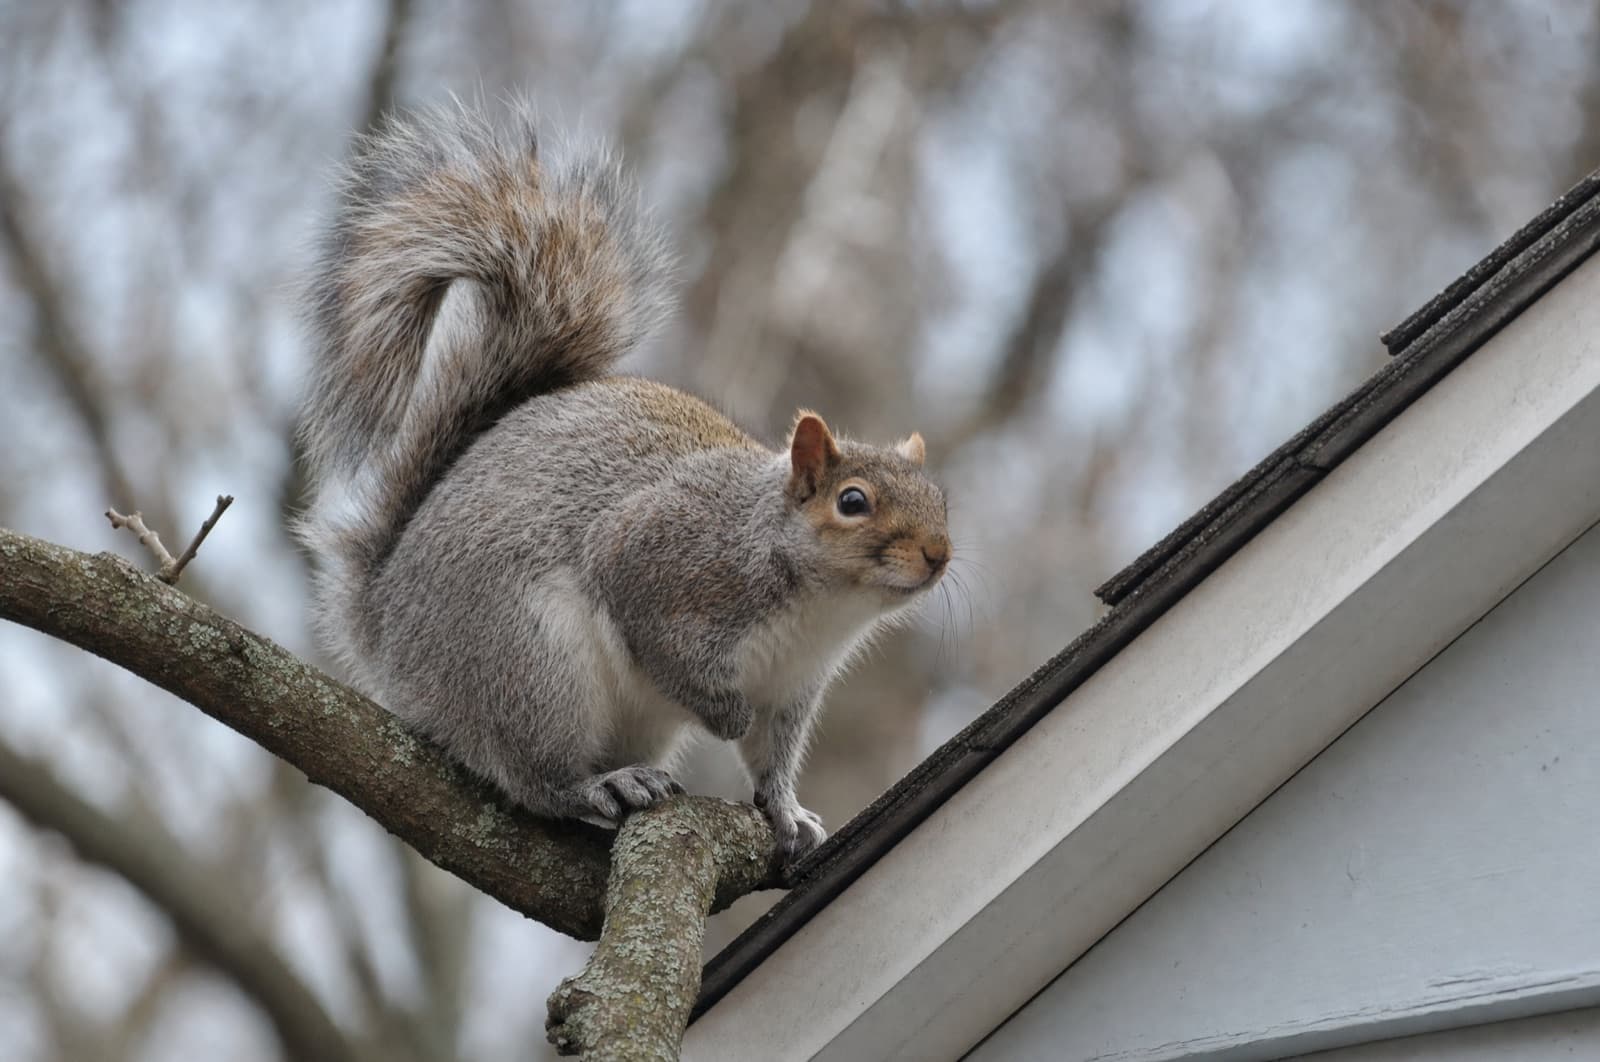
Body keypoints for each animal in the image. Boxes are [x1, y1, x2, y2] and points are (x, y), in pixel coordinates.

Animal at [294, 103, 951, 860]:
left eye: (942, 501)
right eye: (852, 502)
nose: (939, 555)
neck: (820, 607)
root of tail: (386, 631)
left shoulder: (792, 691)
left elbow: (771, 761)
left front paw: (787, 813)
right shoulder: (667, 563)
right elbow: (656, 636)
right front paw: (723, 714)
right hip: (530, 663)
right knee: (532, 773)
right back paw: (594, 786)